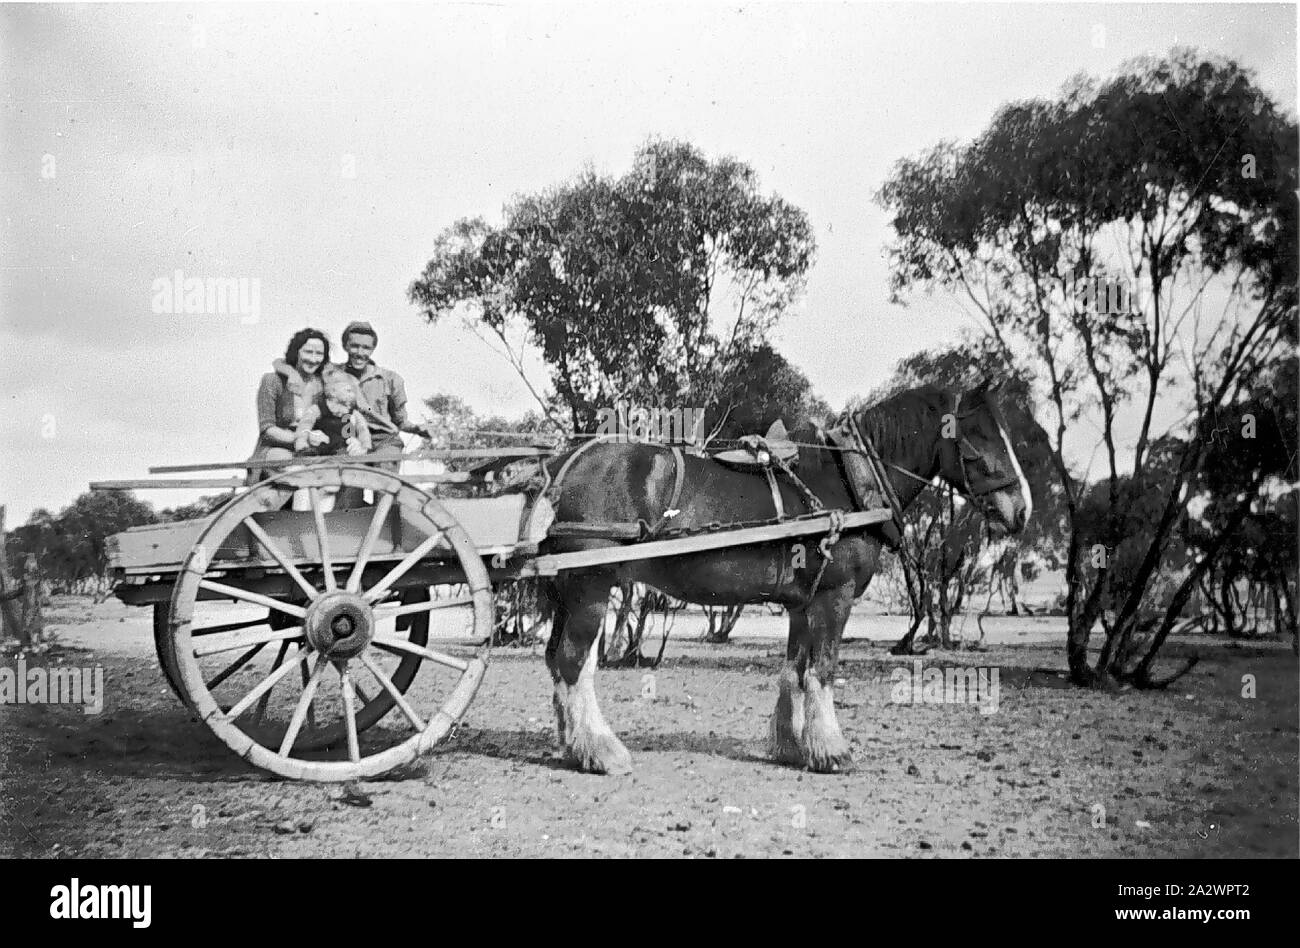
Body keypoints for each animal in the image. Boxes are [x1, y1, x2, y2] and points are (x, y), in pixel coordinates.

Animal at [533, 379, 1029, 775]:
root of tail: (564, 464)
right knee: (574, 663)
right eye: (980, 437)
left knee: (557, 661)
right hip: (590, 588)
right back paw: (600, 750)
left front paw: (793, 745)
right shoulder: (835, 596)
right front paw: (831, 751)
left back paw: (571, 746)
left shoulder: (802, 603)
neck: (847, 481)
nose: (1021, 510)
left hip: (566, 591)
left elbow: (795, 671)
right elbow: (823, 671)